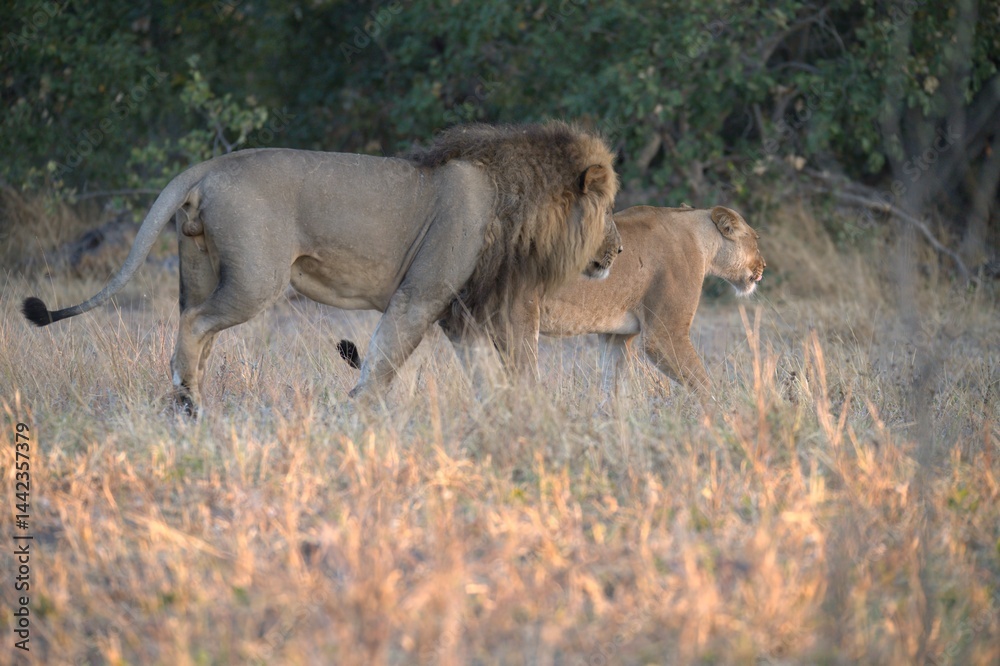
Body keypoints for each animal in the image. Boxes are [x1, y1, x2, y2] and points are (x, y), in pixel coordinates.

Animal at [21, 122, 619, 414]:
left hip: (199, 268)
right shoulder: (423, 294)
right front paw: (358, 409)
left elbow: (488, 372)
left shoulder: (459, 308)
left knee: (195, 328)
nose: (615, 251)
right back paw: (188, 399)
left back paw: (187, 398)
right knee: (195, 325)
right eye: (609, 208)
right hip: (257, 279)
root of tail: (213, 164)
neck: (514, 200)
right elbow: (385, 355)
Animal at [531, 204, 765, 401]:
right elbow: (702, 383)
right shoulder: (663, 334)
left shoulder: (616, 335)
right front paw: (719, 417)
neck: (701, 241)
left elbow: (613, 388)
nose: (764, 265)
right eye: (756, 240)